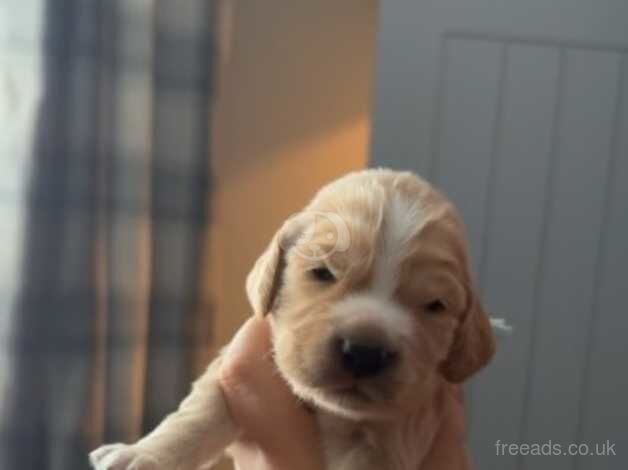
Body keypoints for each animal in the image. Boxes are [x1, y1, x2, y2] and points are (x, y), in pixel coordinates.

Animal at [91, 169, 498, 470]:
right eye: (323, 272)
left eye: (434, 305)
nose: (365, 352)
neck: (332, 414)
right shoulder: (232, 371)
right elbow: (198, 413)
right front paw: (141, 455)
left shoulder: (397, 434)